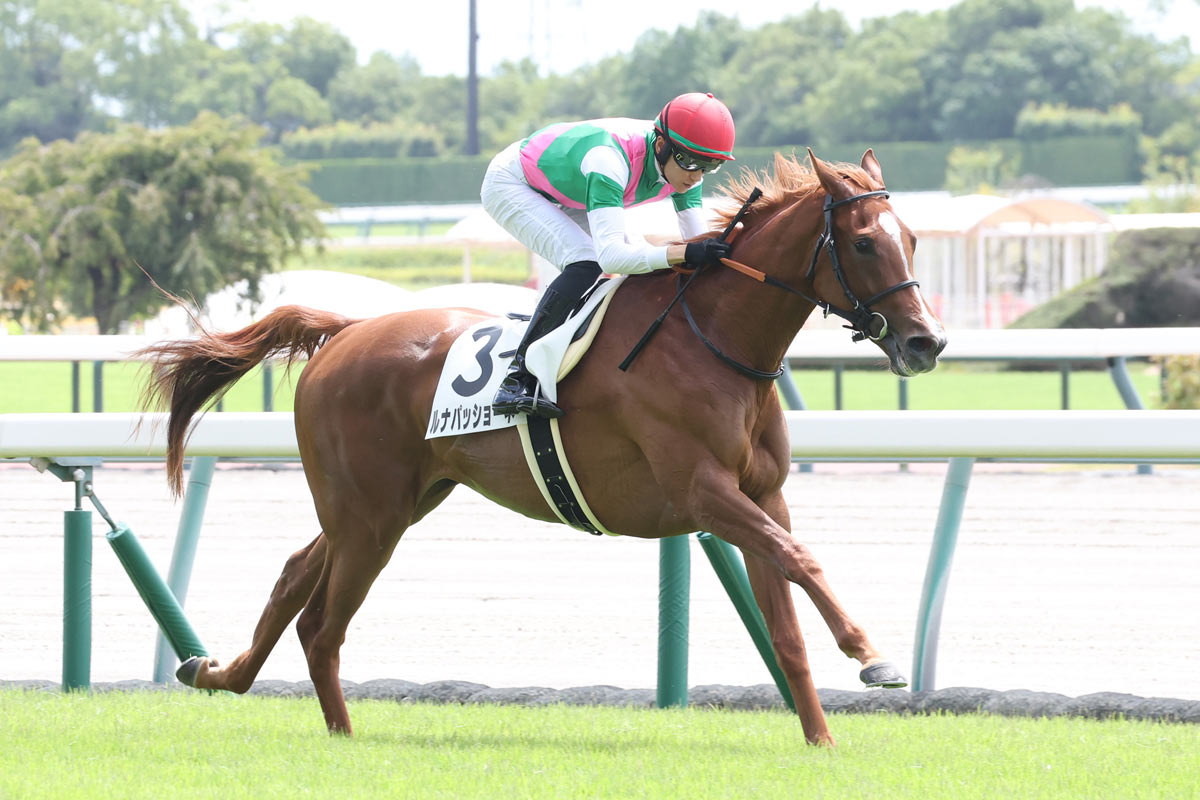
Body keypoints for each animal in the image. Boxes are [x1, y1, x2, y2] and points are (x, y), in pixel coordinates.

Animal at [140, 148, 947, 746]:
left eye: (912, 239)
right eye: (865, 242)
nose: (926, 342)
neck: (712, 339)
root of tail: (344, 331)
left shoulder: (761, 493)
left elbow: (785, 620)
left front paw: (823, 740)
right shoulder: (702, 492)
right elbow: (801, 559)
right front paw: (873, 657)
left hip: (391, 502)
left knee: (294, 579)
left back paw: (216, 673)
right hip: (370, 515)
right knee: (322, 624)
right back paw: (338, 734)